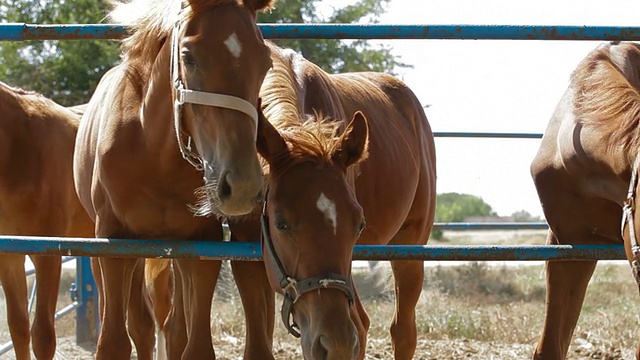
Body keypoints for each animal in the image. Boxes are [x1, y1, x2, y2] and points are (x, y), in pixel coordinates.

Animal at [74, 0, 274, 358]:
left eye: (264, 60)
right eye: (189, 57)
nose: (242, 186)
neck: (152, 150)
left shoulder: (203, 243)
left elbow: (194, 344)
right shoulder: (113, 241)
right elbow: (114, 341)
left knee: (171, 326)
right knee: (141, 324)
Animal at [224, 43, 436, 360]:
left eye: (359, 224)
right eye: (280, 223)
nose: (333, 342)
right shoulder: (247, 256)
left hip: (410, 247)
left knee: (398, 330)